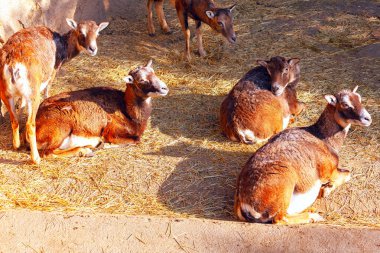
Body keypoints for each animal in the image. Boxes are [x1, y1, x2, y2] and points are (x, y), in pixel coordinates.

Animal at [0, 18, 110, 164]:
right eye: (81, 32)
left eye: (98, 33)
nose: (93, 49)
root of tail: (12, 64)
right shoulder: (52, 73)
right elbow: (47, 93)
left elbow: (21, 107)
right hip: (33, 94)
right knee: (31, 124)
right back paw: (36, 159)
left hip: (6, 93)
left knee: (14, 119)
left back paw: (16, 144)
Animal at [35, 60, 169, 157]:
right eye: (142, 80)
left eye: (154, 73)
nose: (164, 88)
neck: (127, 113)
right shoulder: (111, 132)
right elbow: (136, 140)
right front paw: (105, 144)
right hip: (61, 128)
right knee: (47, 153)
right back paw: (85, 151)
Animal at [233, 86, 372, 223]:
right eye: (345, 104)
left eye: (359, 98)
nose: (368, 118)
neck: (321, 137)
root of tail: (242, 200)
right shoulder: (329, 171)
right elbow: (348, 174)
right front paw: (326, 190)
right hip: (285, 189)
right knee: (280, 218)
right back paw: (314, 216)